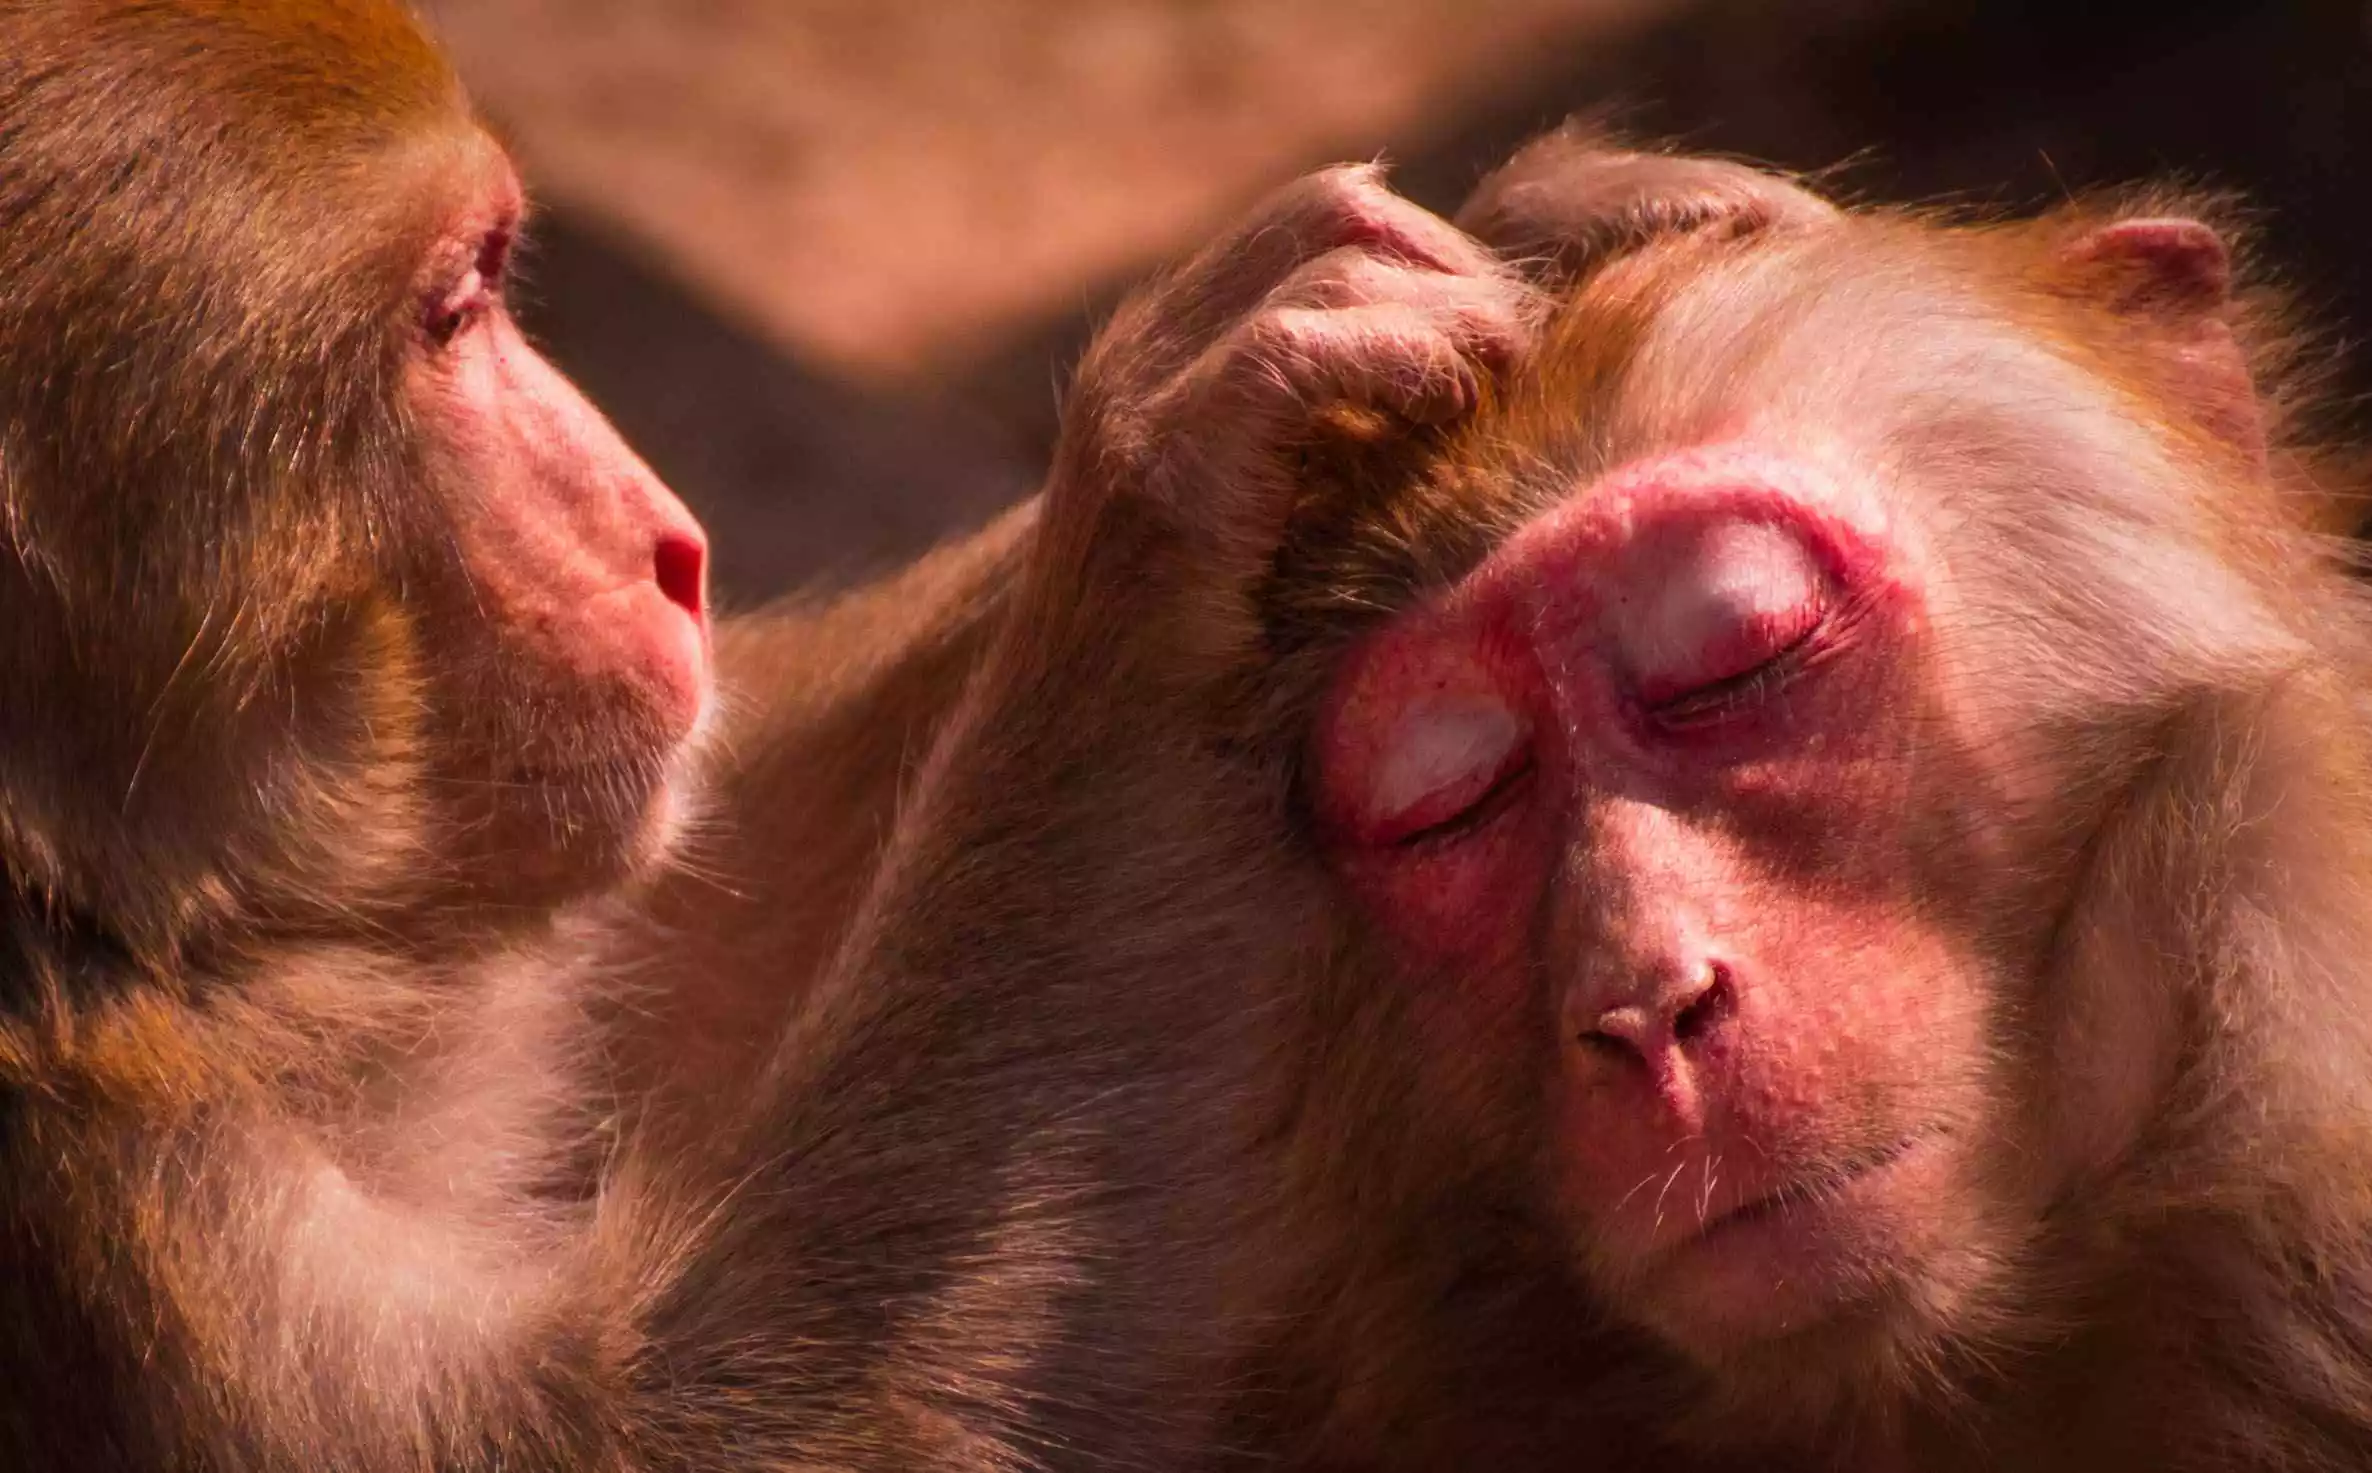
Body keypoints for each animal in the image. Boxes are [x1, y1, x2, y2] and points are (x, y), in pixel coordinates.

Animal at [0, 5, 1537, 1461]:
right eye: (447, 313)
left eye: (485, 290)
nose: (669, 549)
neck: (123, 935)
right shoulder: (132, 1204)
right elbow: (693, 1436)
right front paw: (1147, 526)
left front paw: (1554, 210)